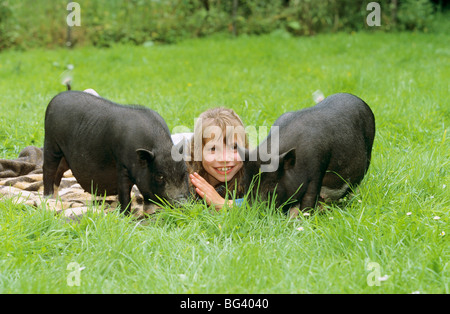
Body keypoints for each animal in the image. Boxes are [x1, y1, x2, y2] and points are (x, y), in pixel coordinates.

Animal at [42, 91, 188, 213]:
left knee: (58, 172)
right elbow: (124, 194)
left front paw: (150, 213)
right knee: (48, 169)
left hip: (64, 157)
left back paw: (55, 198)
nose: (181, 202)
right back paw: (48, 198)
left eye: (184, 173)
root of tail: (54, 99)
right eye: (160, 176)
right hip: (51, 142)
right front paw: (125, 215)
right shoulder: (122, 164)